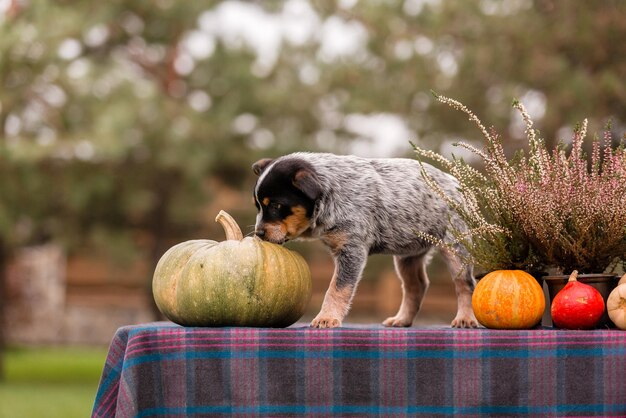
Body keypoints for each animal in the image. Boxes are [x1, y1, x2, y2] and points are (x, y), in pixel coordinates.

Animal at [251, 152, 476, 328]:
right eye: (258, 206)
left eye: (276, 206)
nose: (258, 233)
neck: (332, 194)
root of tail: (458, 184)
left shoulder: (352, 250)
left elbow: (337, 289)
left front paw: (327, 318)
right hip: (408, 255)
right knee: (416, 286)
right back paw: (402, 319)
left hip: (456, 248)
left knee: (465, 285)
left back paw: (465, 319)